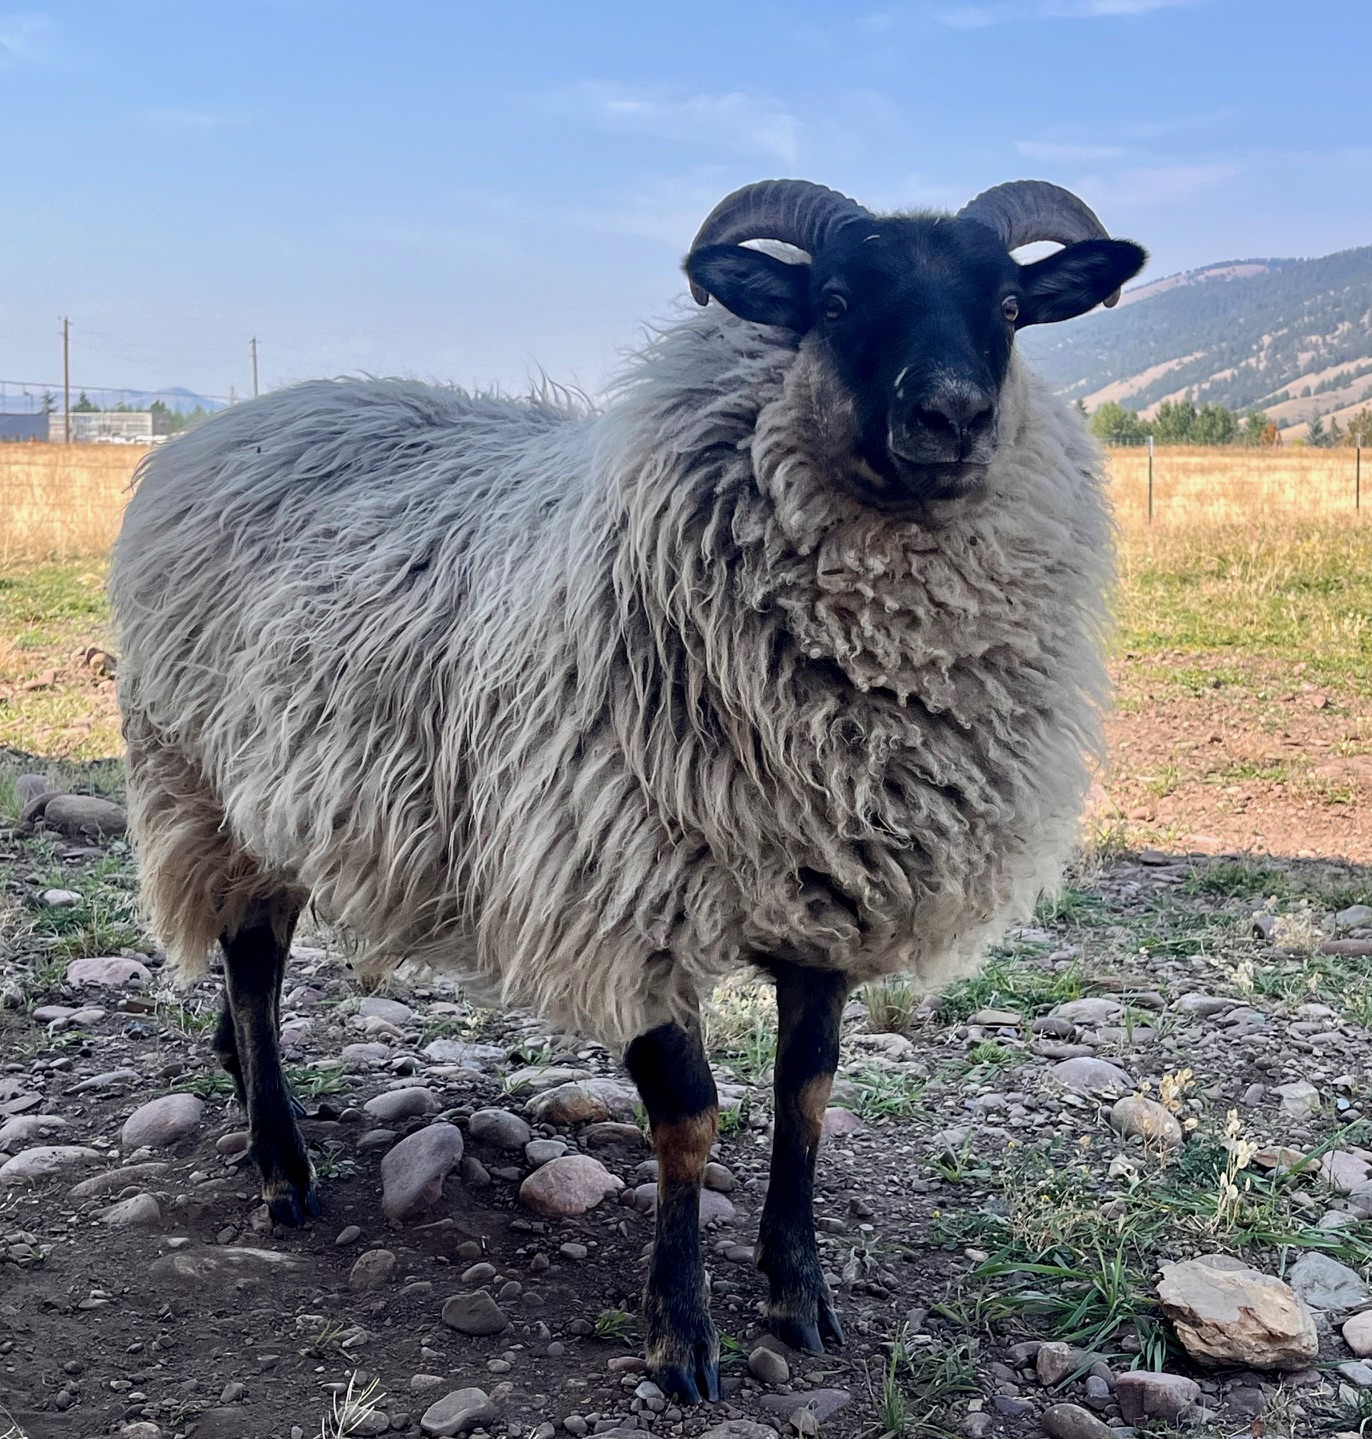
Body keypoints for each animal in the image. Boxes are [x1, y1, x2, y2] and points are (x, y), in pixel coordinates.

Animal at [110, 177, 1145, 1402]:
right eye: (836, 300)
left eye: (1011, 306)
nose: (952, 416)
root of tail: (225, 425)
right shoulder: (622, 890)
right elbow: (688, 1119)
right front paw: (680, 1332)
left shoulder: (829, 895)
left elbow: (807, 1093)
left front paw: (798, 1294)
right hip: (207, 785)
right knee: (256, 966)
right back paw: (280, 1165)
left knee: (247, 976)